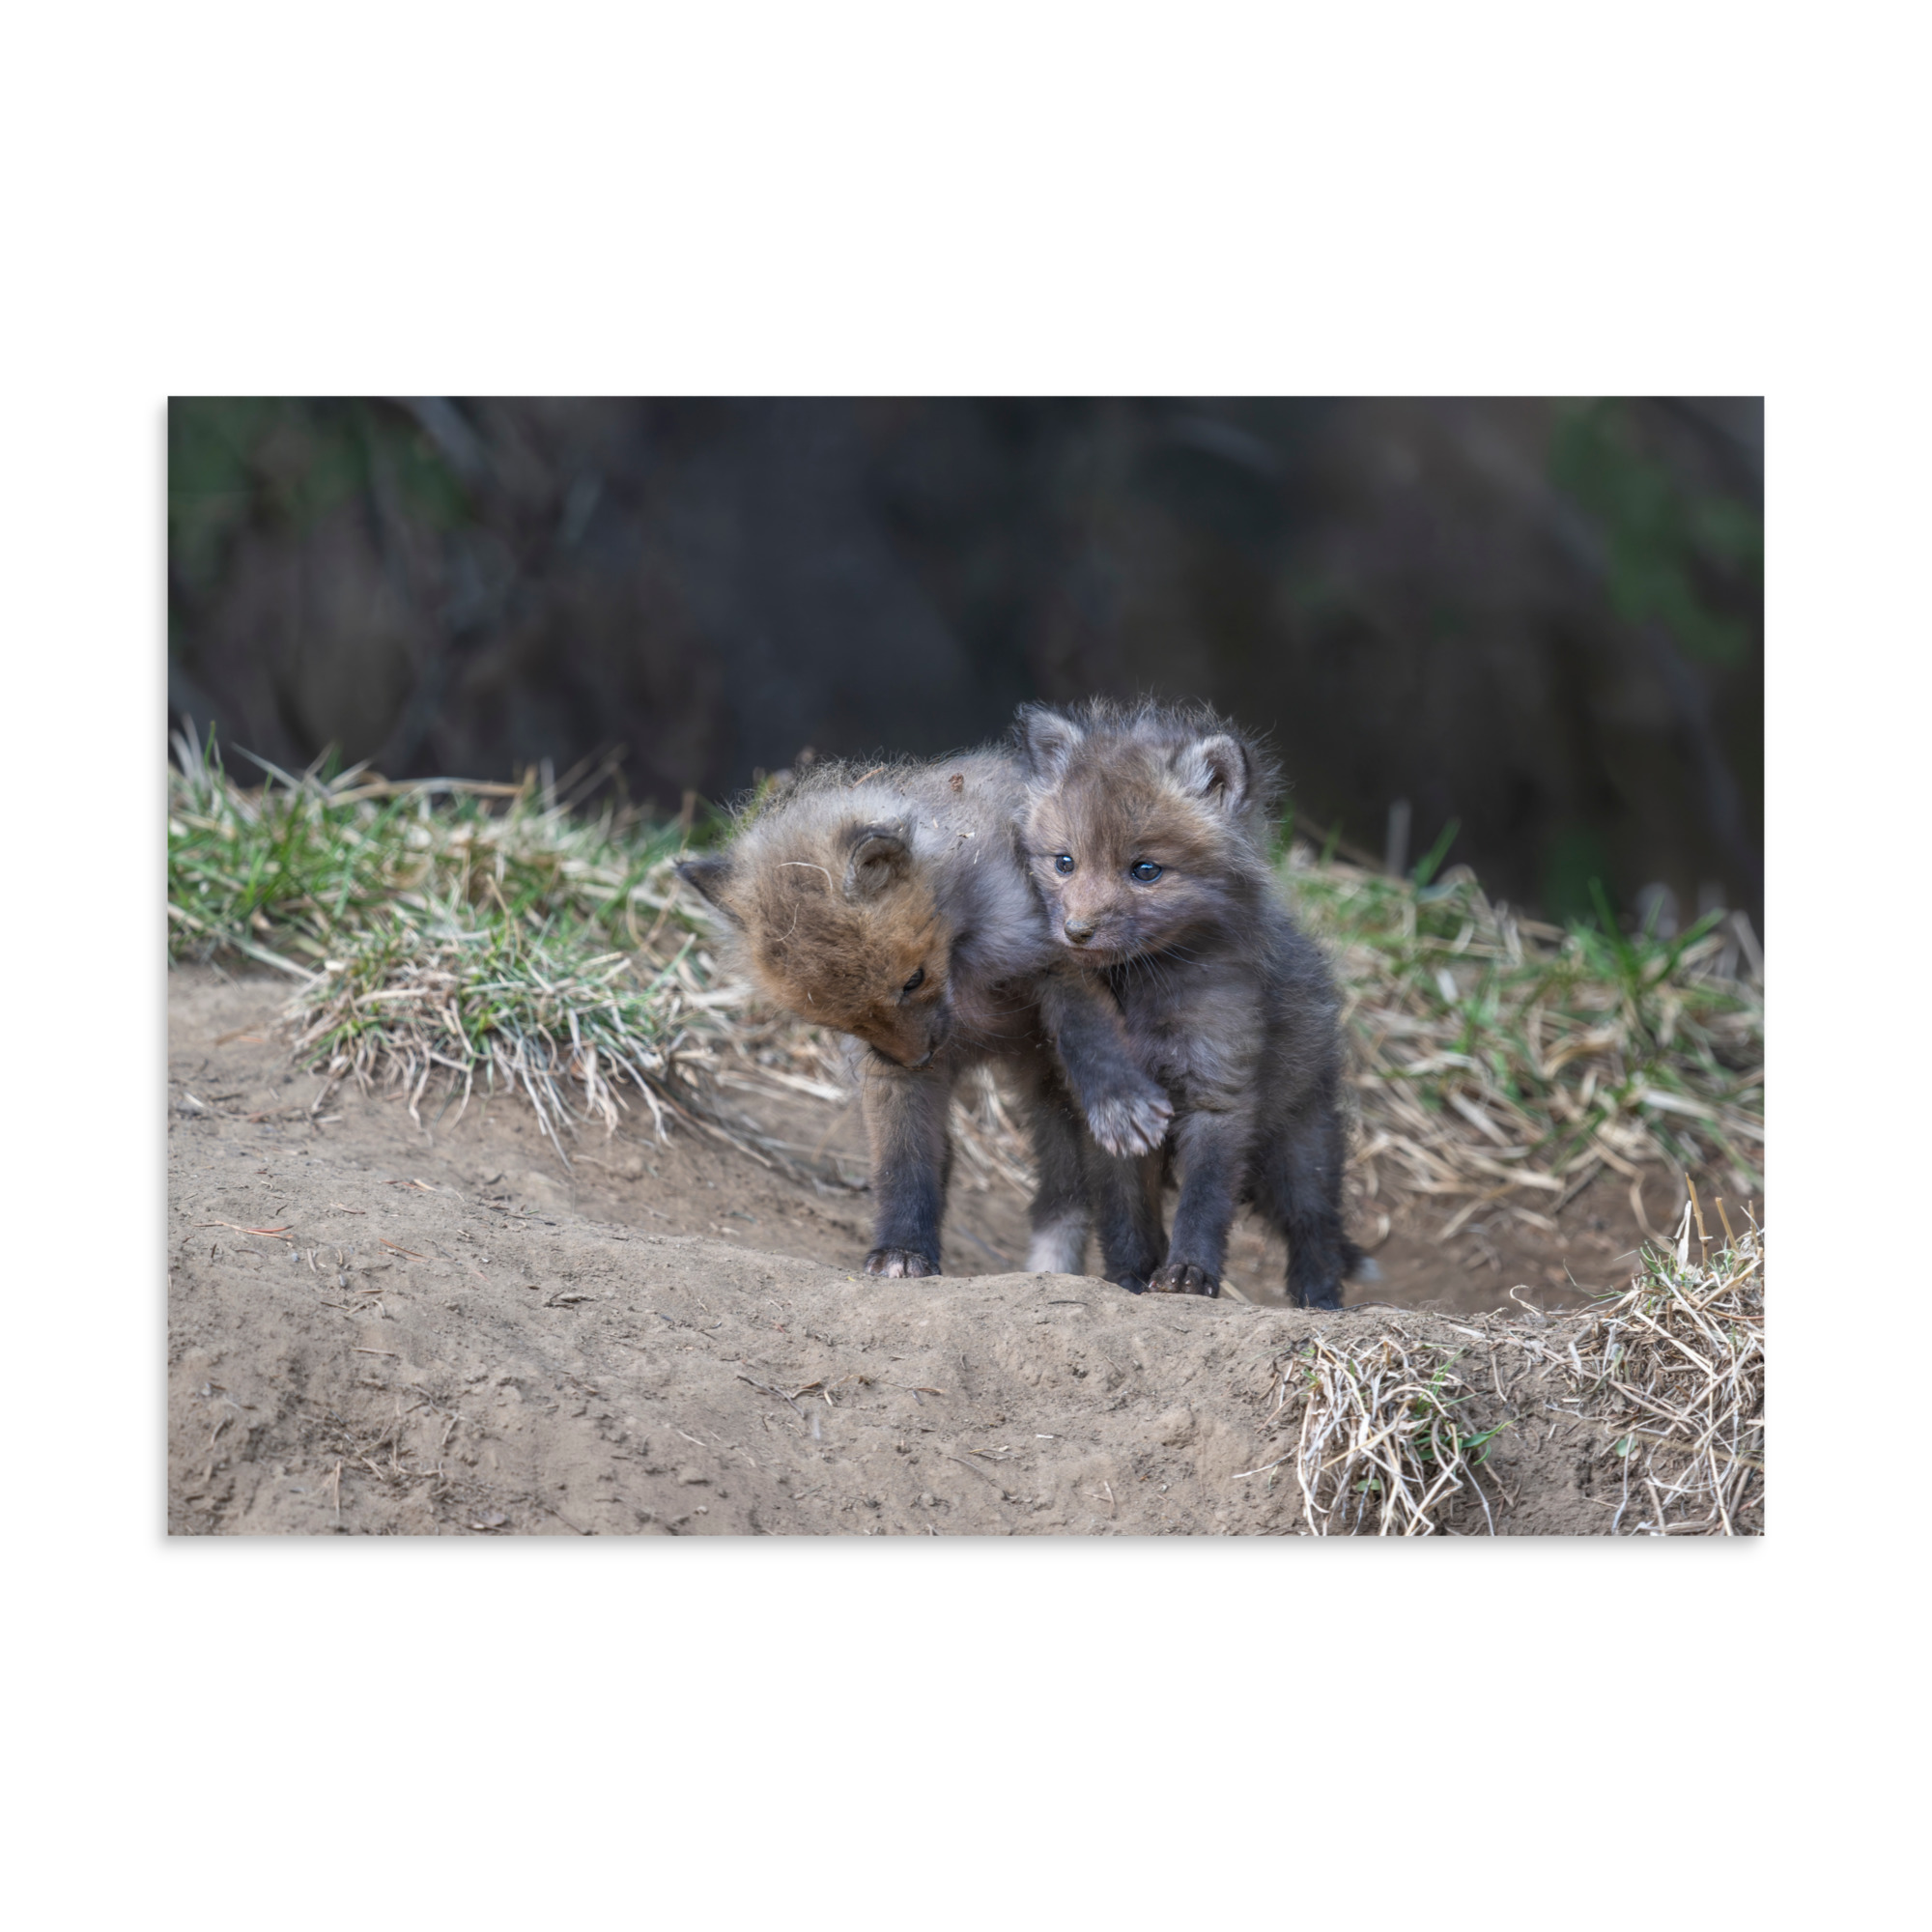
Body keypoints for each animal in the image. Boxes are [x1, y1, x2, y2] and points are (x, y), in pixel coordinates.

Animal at [674, 749, 1173, 1280]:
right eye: (839, 1020)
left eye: (913, 980)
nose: (917, 1059)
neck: (964, 971)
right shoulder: (886, 1070)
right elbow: (903, 1162)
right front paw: (902, 1249)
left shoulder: (1057, 956)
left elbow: (1089, 1034)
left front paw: (1119, 1100)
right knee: (1059, 1193)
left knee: (1116, 1198)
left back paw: (1133, 1275)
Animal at [1016, 698, 1365, 1307]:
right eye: (1064, 863)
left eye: (1145, 870)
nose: (1076, 932)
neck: (1142, 994)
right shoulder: (1110, 1115)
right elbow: (1124, 1213)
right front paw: (1129, 1278)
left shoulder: (1218, 1092)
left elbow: (1204, 1202)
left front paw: (1188, 1275)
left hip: (1300, 1147)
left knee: (1315, 1226)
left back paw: (1319, 1302)